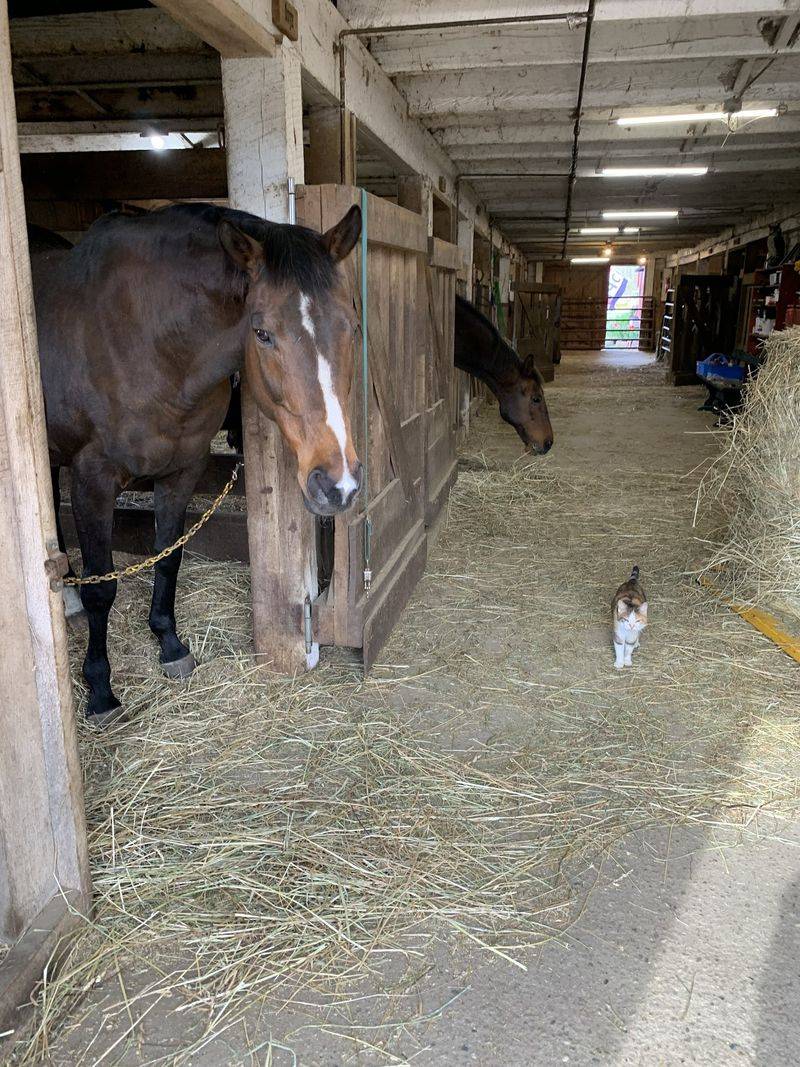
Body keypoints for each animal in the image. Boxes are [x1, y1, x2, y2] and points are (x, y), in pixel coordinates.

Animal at [31, 201, 363, 723]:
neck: (147, 345)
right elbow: (102, 589)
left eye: (352, 325)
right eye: (262, 333)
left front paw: (170, 646)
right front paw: (100, 690)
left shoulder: (182, 471)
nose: (338, 484)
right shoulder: (93, 481)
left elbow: (169, 557)